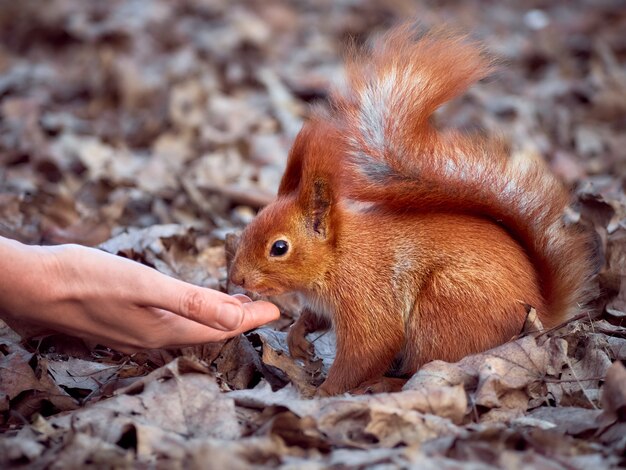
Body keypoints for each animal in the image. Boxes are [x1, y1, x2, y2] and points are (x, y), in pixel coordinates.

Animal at [228, 23, 596, 394]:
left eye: (279, 248)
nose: (235, 278)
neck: (338, 258)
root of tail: (540, 312)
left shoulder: (366, 295)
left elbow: (369, 347)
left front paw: (324, 392)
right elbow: (312, 319)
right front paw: (296, 338)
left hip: (445, 310)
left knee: (423, 367)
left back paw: (381, 385)